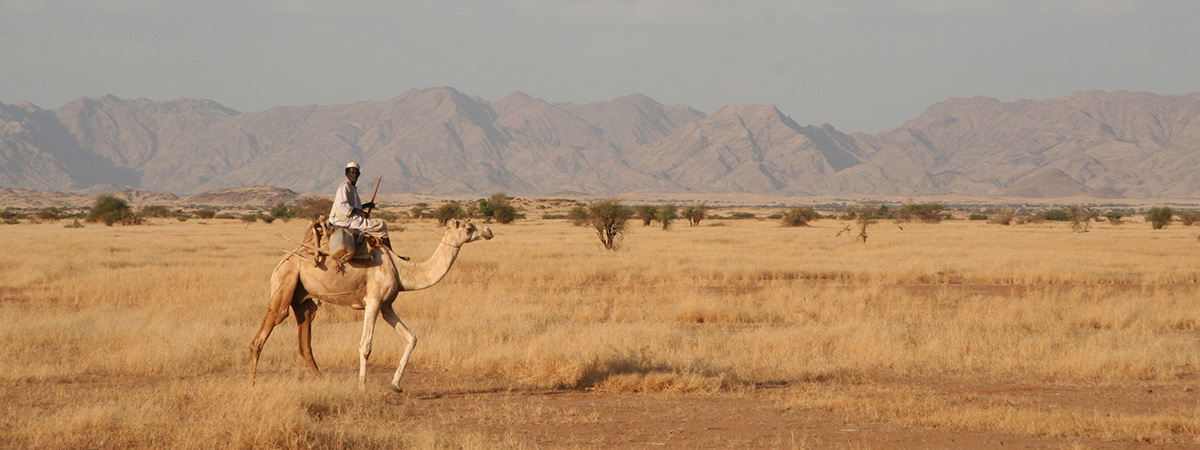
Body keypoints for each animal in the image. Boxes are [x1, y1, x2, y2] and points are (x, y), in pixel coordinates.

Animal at [249, 218, 493, 392]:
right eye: (469, 226)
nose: (488, 230)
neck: (401, 270)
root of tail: (283, 261)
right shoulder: (374, 302)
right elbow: (365, 346)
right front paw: (362, 387)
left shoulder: (386, 306)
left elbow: (411, 338)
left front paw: (396, 384)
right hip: (286, 281)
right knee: (264, 332)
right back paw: (252, 383)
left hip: (302, 298)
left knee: (304, 340)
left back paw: (324, 381)